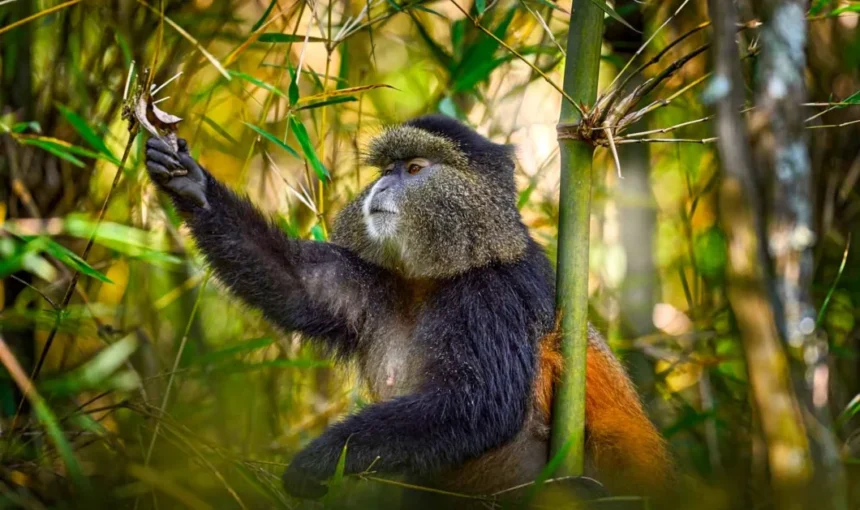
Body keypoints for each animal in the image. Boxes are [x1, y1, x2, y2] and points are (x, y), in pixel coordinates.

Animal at [143, 114, 673, 505]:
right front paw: (191, 183)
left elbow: (477, 403)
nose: (380, 188)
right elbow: (298, 285)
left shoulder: (496, 294)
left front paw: (320, 459)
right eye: (385, 170)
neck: (437, 278)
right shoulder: (377, 283)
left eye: (414, 169)